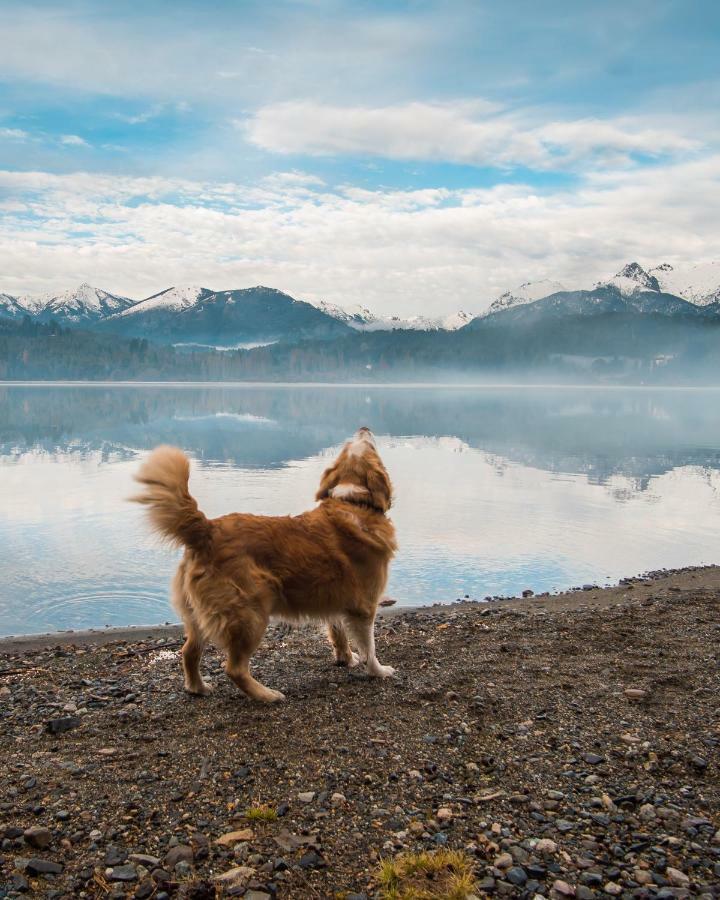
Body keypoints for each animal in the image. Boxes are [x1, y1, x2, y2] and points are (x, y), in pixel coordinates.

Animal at [132, 428, 396, 704]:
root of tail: (206, 530)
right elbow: (369, 646)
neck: (353, 501)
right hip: (250, 615)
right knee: (234, 668)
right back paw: (266, 695)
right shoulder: (364, 606)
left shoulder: (336, 598)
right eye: (369, 446)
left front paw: (346, 658)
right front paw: (378, 671)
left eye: (348, 446)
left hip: (198, 616)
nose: (364, 428)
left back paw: (198, 687)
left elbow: (338, 632)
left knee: (188, 652)